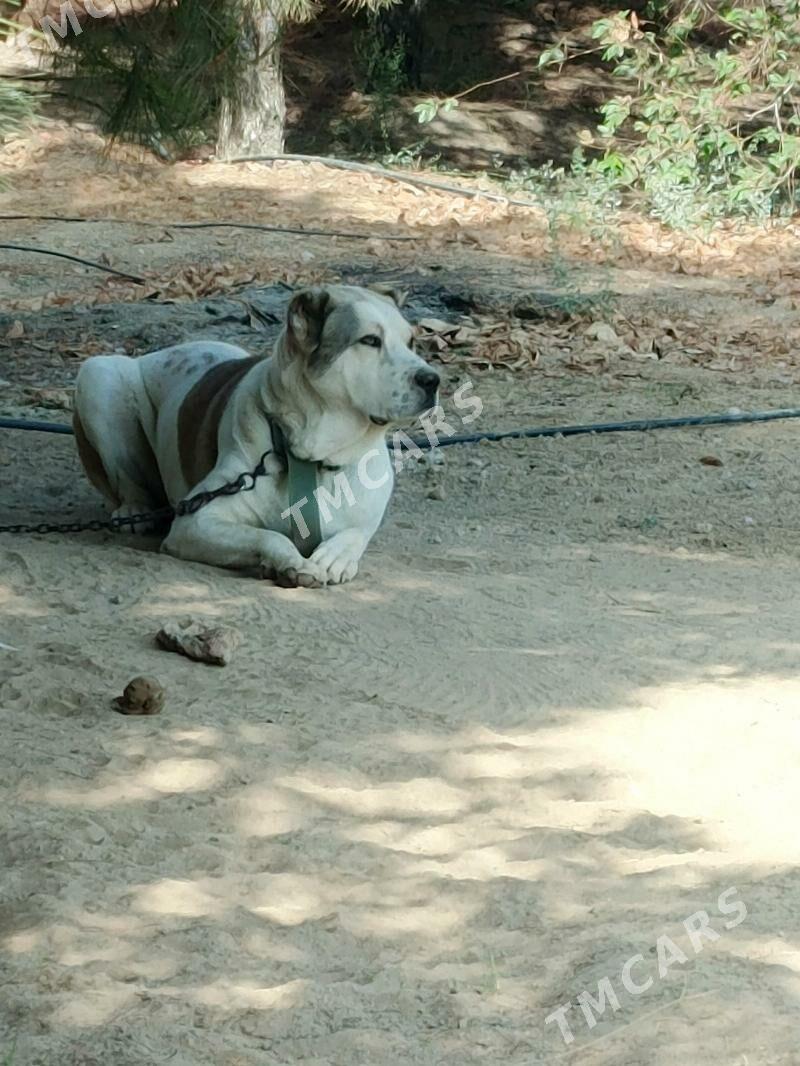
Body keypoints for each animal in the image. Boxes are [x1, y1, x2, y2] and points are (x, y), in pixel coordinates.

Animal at [72, 283, 441, 588]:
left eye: (411, 342)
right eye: (369, 341)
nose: (432, 379)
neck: (315, 455)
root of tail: (156, 353)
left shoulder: (365, 515)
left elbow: (356, 533)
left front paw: (334, 556)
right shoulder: (196, 522)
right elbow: (268, 537)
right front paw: (291, 563)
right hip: (98, 375)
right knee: (126, 480)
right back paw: (133, 509)